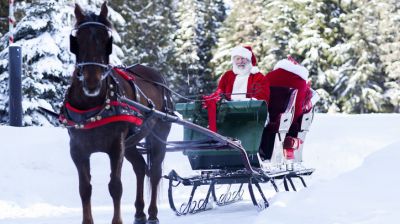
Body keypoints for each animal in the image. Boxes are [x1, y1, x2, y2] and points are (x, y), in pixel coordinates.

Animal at [63, 2, 173, 224]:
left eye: (107, 39)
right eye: (77, 40)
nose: (92, 82)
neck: (93, 108)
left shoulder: (116, 147)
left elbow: (115, 186)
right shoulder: (77, 149)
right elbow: (84, 189)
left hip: (158, 136)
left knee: (155, 172)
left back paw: (152, 213)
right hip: (131, 142)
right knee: (140, 167)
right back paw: (139, 212)